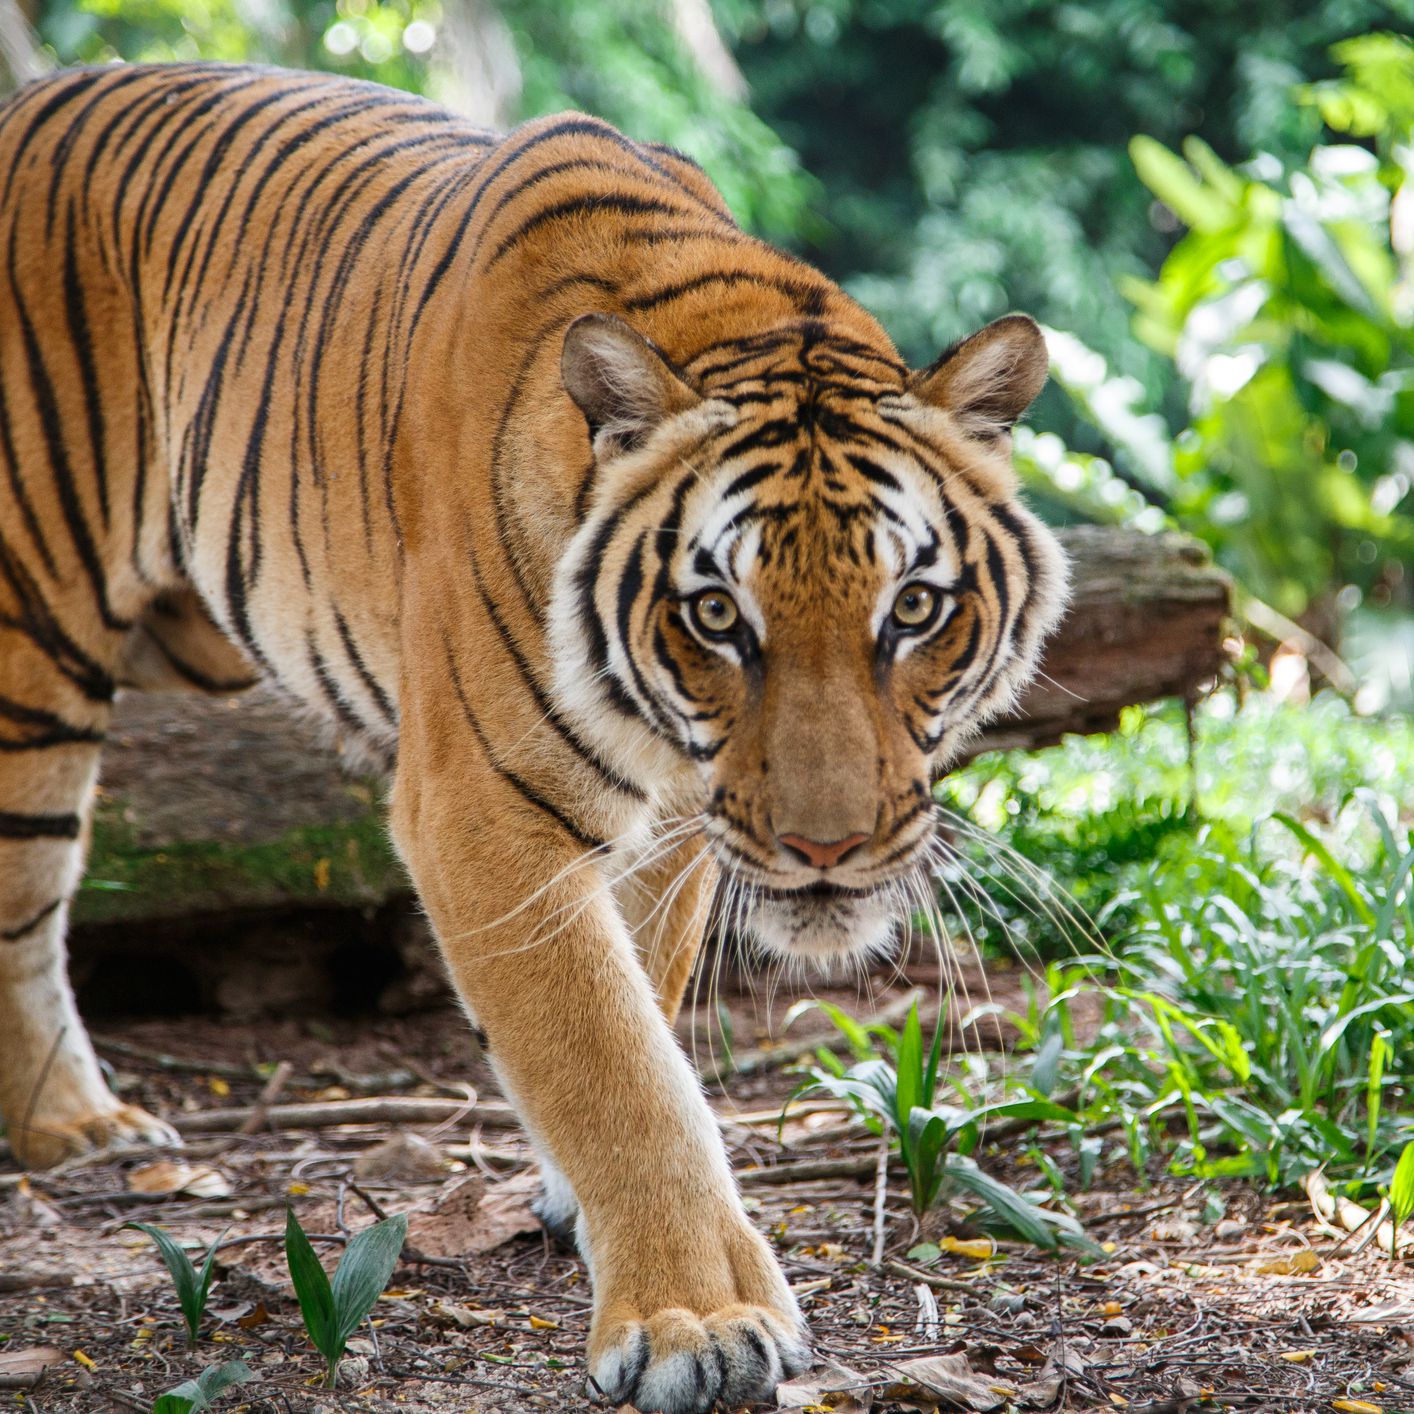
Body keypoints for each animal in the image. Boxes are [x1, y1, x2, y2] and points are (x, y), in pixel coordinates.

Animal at [0, 62, 1067, 1412]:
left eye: (914, 608)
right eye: (719, 616)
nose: (826, 850)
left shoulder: (677, 826)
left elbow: (642, 1008)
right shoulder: (480, 812)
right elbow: (614, 1064)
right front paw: (693, 1321)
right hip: (32, 645)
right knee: (25, 904)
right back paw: (74, 1125)